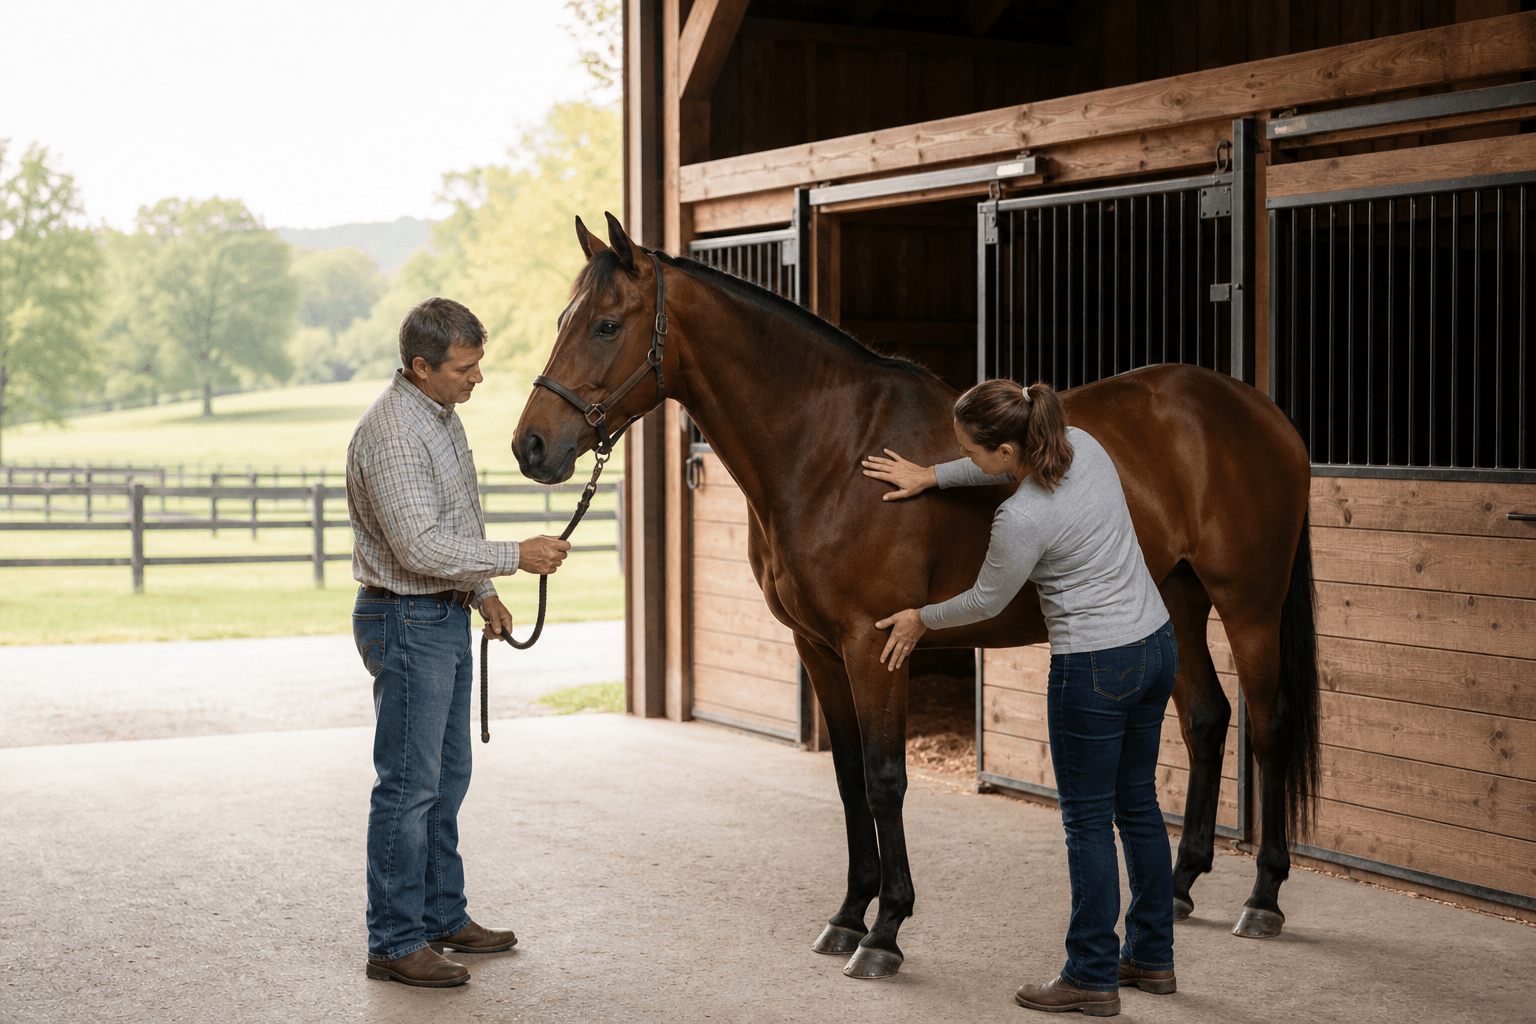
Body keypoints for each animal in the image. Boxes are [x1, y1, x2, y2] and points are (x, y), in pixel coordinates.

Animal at [512, 213, 1320, 980]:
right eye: (560, 321)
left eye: (606, 324)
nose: (531, 447)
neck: (835, 451)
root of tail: (1258, 411)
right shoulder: (818, 647)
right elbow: (847, 779)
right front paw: (847, 916)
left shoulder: (874, 642)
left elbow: (885, 778)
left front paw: (886, 931)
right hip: (1175, 600)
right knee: (1208, 720)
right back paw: (1182, 887)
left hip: (1249, 605)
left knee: (1268, 727)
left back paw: (1263, 898)